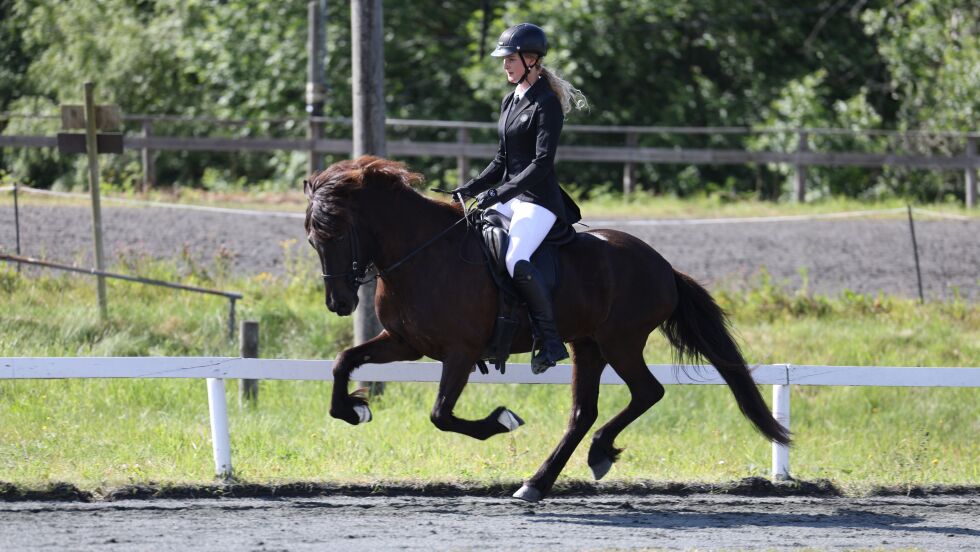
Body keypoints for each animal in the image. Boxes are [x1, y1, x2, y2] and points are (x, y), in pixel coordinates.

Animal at [302, 156, 792, 504]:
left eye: (337, 231)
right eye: (312, 237)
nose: (339, 303)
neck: (422, 254)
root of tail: (663, 266)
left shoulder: (460, 352)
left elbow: (441, 414)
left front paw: (501, 421)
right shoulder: (405, 343)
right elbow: (343, 362)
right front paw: (354, 410)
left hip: (621, 341)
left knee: (646, 392)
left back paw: (592, 455)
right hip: (587, 345)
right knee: (583, 412)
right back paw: (540, 481)